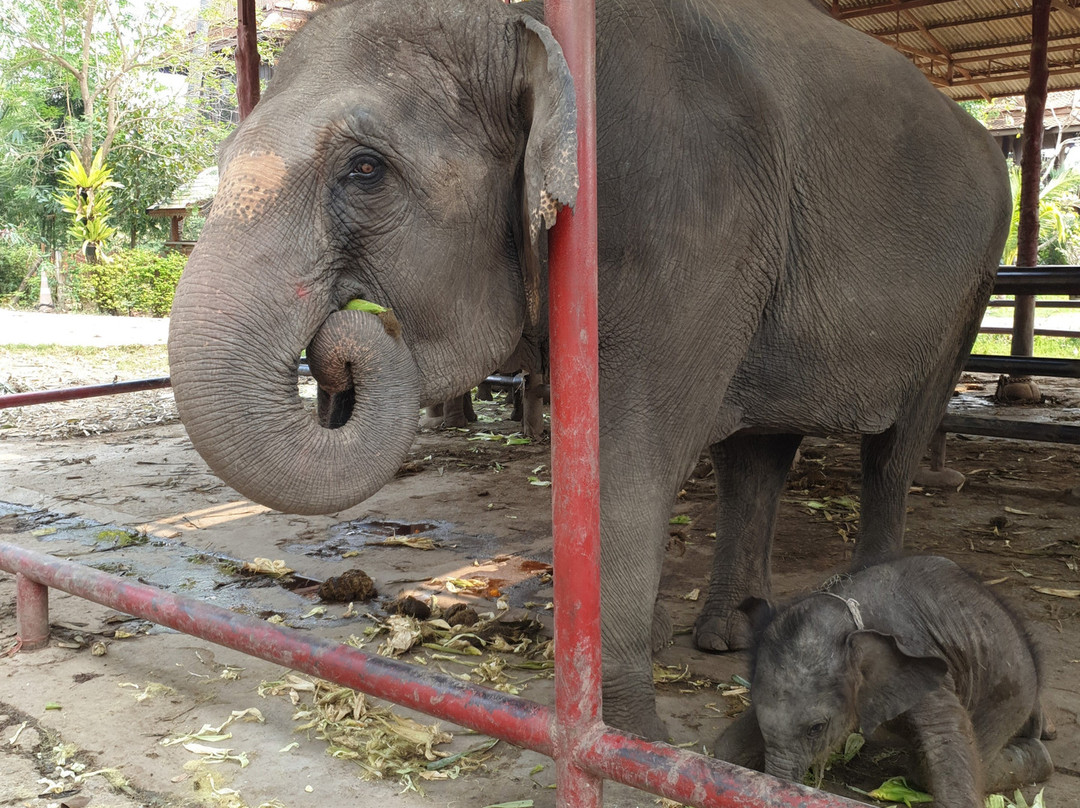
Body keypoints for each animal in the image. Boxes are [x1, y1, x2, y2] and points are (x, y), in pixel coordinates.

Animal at [167, 0, 1010, 738]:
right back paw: (728, 637)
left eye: (365, 169)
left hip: (970, 285)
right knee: (757, 452)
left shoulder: (690, 217)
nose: (342, 342)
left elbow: (629, 457)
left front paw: (635, 742)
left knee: (894, 449)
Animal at [713, 556, 1055, 807]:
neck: (848, 615)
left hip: (1008, 695)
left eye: (816, 729)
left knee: (929, 769)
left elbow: (946, 734)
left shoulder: (920, 658)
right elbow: (725, 749)